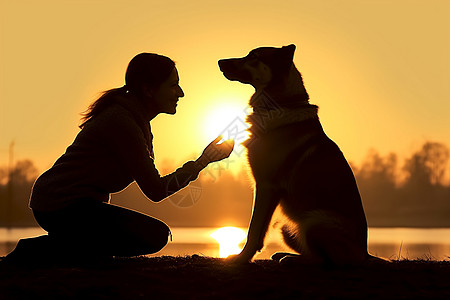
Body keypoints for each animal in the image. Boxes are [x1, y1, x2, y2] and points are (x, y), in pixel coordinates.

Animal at [221, 44, 372, 264]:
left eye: (254, 56)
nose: (220, 62)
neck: (282, 103)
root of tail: (365, 253)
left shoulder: (266, 186)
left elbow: (254, 230)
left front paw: (240, 258)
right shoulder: (267, 190)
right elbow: (259, 231)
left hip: (314, 222)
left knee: (325, 260)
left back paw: (290, 259)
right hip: (287, 225)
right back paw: (285, 255)